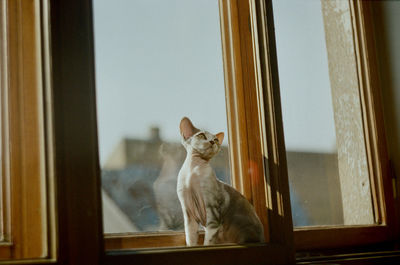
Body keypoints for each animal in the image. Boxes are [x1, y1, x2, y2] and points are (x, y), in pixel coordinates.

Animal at [177, 116, 264, 244]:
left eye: (216, 139)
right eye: (202, 135)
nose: (212, 142)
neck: (192, 172)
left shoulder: (212, 216)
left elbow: (208, 242)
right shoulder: (189, 214)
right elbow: (190, 240)